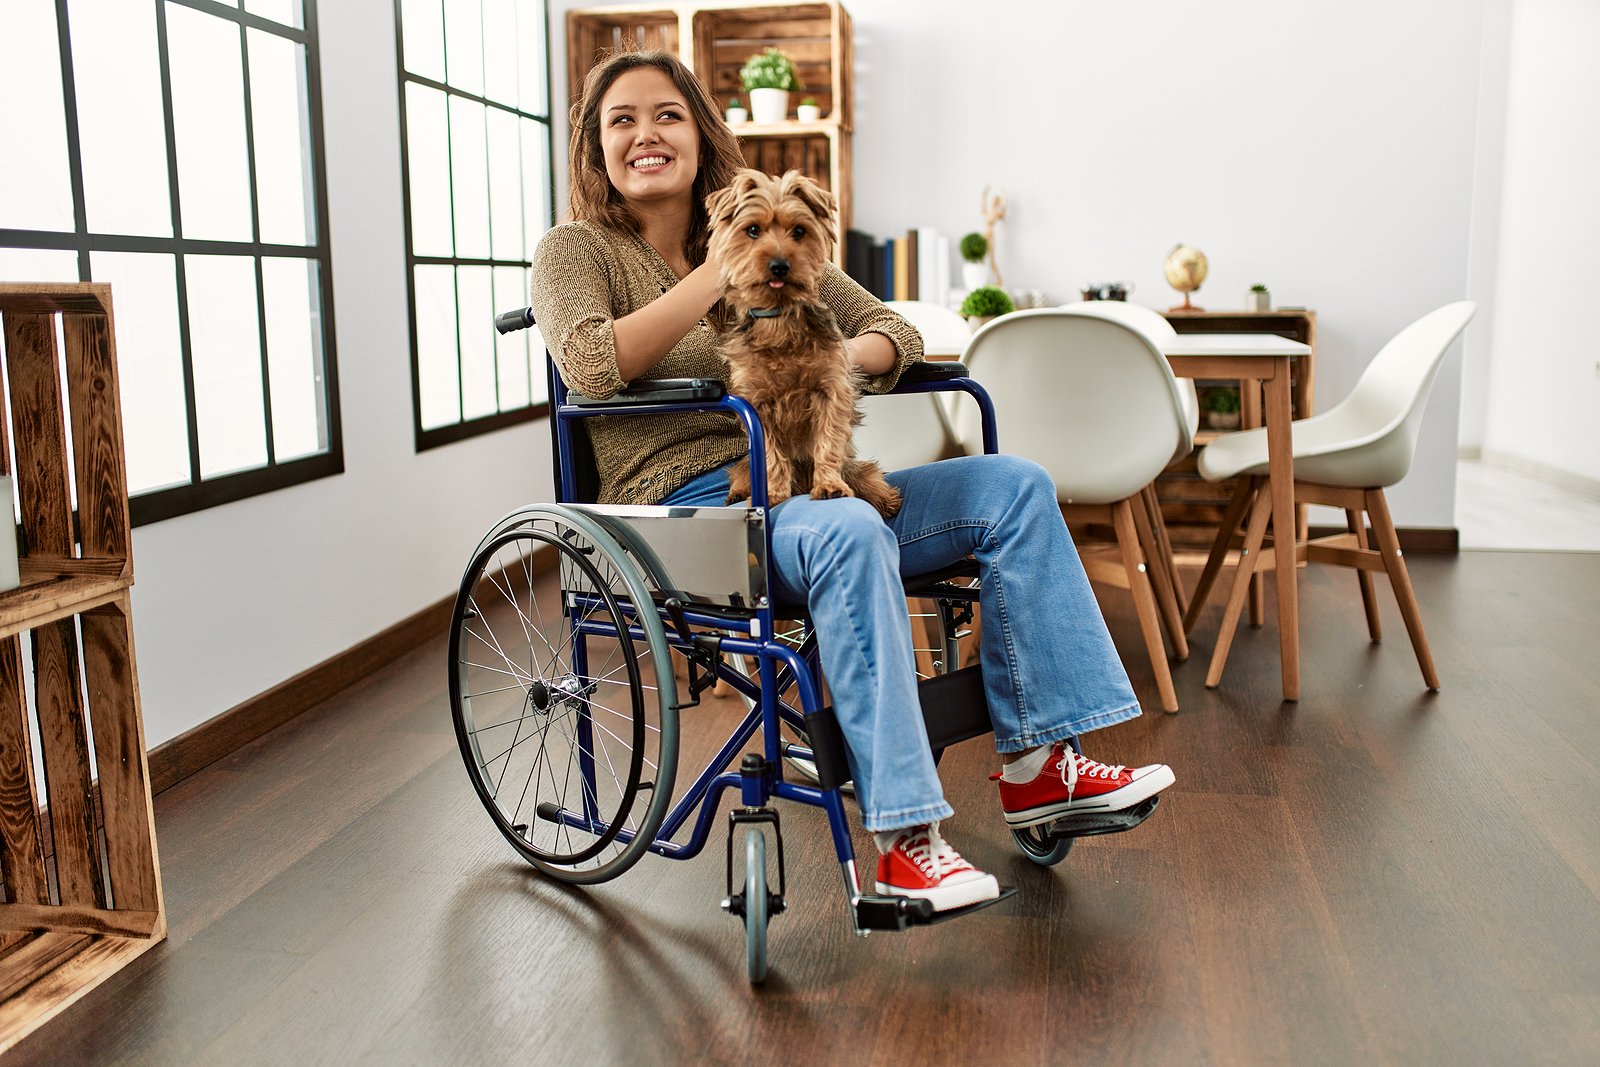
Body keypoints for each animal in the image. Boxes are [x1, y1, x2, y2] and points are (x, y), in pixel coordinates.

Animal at [710, 167, 902, 521]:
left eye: (799, 231)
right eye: (753, 230)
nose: (779, 264)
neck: (780, 321)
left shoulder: (830, 390)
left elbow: (827, 440)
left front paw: (828, 485)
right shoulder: (758, 403)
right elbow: (771, 455)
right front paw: (772, 493)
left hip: (856, 469)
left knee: (867, 474)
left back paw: (884, 499)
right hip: (743, 465)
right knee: (742, 472)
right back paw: (740, 493)